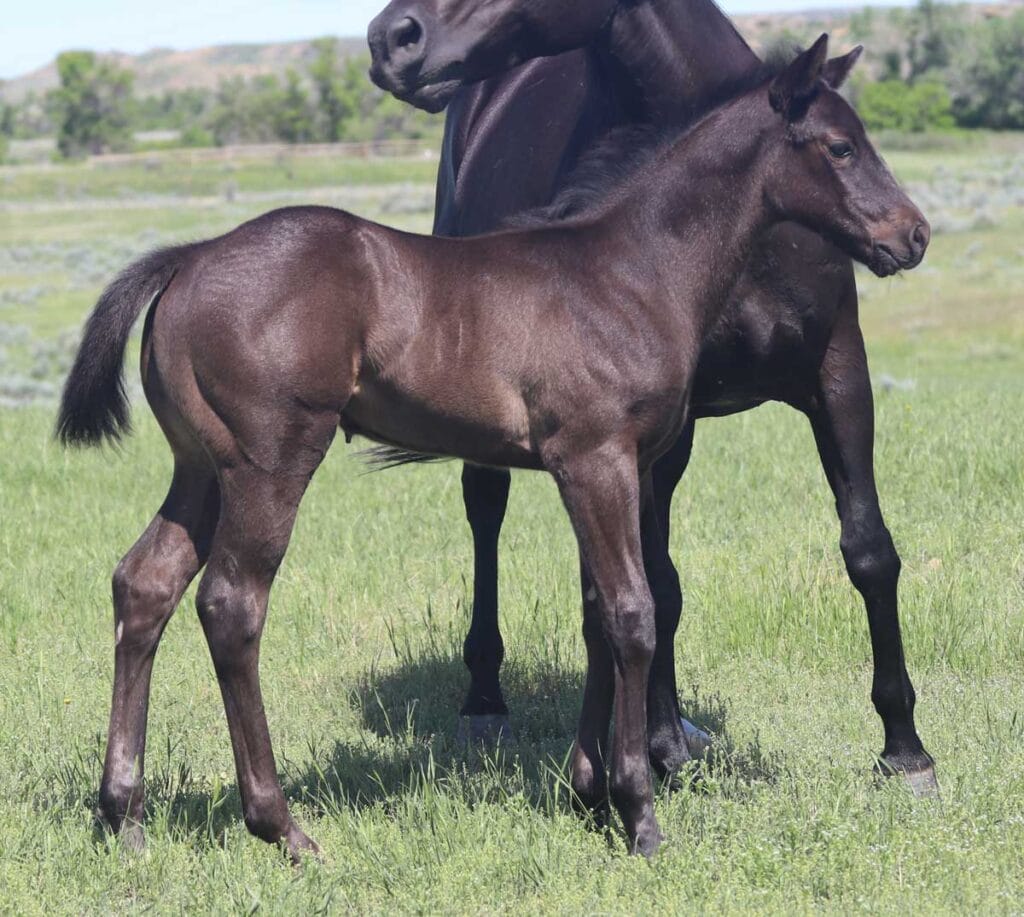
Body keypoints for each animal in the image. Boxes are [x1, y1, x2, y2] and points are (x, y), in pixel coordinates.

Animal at [372, 0, 937, 790]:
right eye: (840, 147)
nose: (391, 39)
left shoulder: (836, 376)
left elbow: (869, 551)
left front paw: (904, 745)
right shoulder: (638, 423)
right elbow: (652, 580)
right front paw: (655, 748)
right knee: (487, 508)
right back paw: (491, 698)